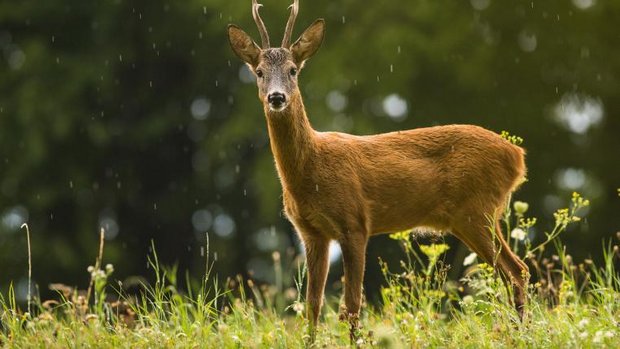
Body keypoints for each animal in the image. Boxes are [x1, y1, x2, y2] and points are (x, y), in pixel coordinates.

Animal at [228, 0, 528, 338]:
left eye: (293, 70)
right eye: (259, 72)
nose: (276, 97)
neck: (310, 172)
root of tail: (517, 155)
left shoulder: (355, 223)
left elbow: (352, 306)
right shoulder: (312, 233)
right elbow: (312, 306)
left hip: (477, 211)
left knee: (516, 271)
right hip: (476, 216)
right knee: (512, 272)